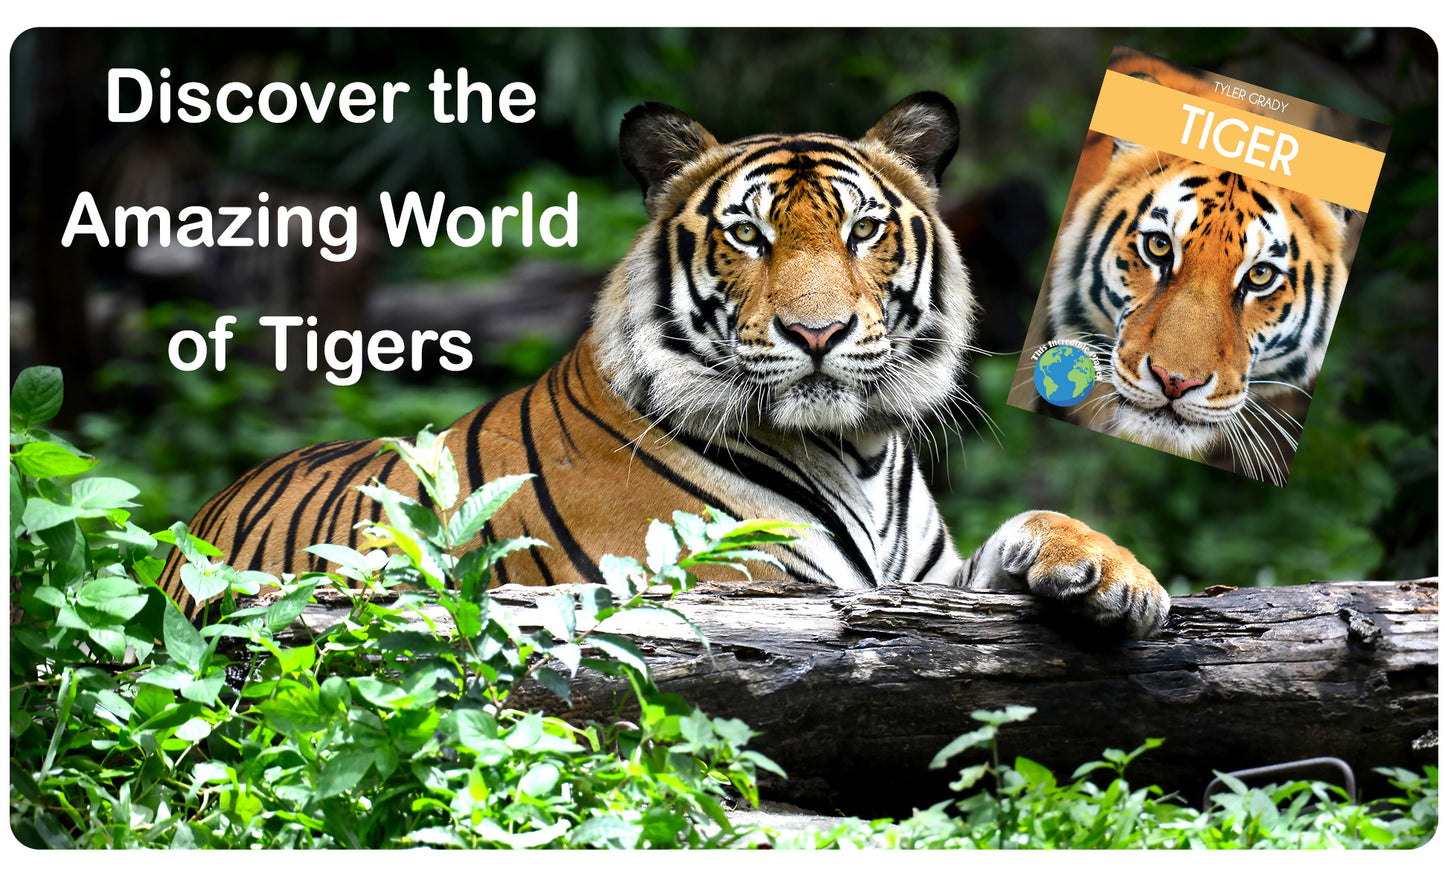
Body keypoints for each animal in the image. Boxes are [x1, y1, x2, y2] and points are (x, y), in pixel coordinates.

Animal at [159, 92, 1170, 638]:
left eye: (861, 231)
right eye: (748, 235)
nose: (817, 333)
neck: (856, 450)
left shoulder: (926, 582)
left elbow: (1030, 525)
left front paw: (1115, 576)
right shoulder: (742, 587)